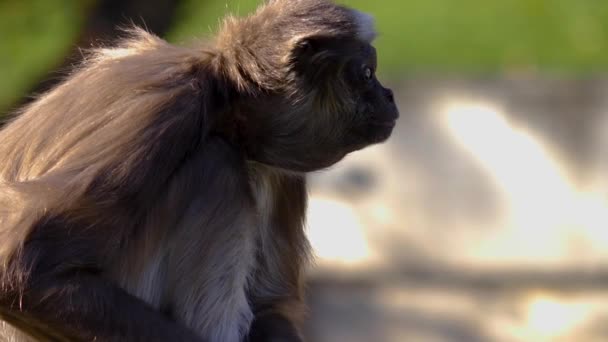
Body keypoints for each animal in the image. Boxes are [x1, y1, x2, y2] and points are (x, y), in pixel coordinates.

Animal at [0, 0, 400, 342]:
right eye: (367, 74)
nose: (390, 95)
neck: (221, 93)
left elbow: (269, 305)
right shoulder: (168, 106)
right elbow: (26, 275)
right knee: (217, 163)